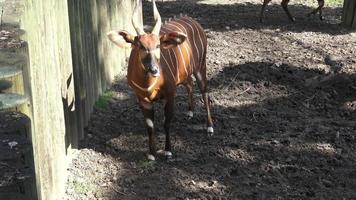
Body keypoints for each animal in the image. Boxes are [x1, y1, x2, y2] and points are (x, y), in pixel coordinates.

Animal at [106, 0, 214, 160]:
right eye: (140, 46)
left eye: (158, 45)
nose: (154, 70)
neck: (148, 85)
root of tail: (193, 21)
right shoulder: (142, 99)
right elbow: (150, 125)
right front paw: (151, 154)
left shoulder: (170, 93)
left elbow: (166, 122)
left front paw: (168, 151)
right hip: (185, 74)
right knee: (190, 84)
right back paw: (190, 113)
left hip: (201, 67)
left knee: (205, 92)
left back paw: (209, 127)